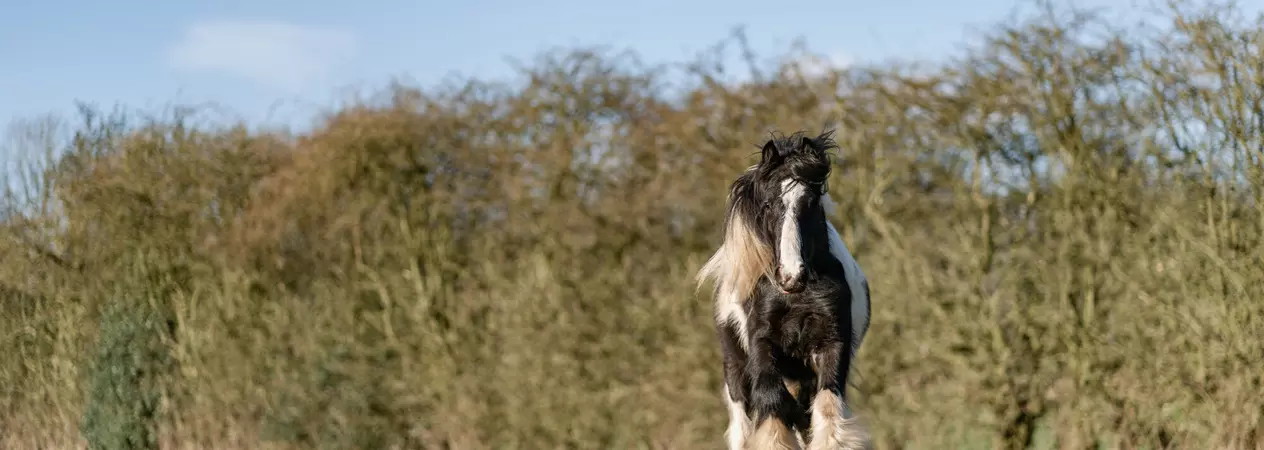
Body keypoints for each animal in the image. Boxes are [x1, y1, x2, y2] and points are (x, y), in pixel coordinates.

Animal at [696, 130, 871, 450]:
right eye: (767, 205)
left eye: (811, 203)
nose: (791, 277)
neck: (797, 298)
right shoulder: (762, 343)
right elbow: (772, 402)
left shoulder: (833, 342)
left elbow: (827, 409)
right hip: (735, 371)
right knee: (743, 425)